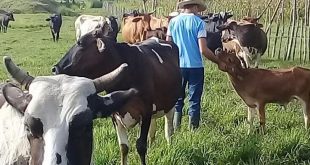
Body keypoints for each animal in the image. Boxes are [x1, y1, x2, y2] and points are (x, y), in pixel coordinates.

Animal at [51, 29, 182, 165]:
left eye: (80, 43)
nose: (55, 68)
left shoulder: (146, 112)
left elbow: (141, 145)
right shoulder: (115, 115)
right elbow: (123, 147)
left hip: (170, 104)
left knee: (169, 128)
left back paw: (169, 145)